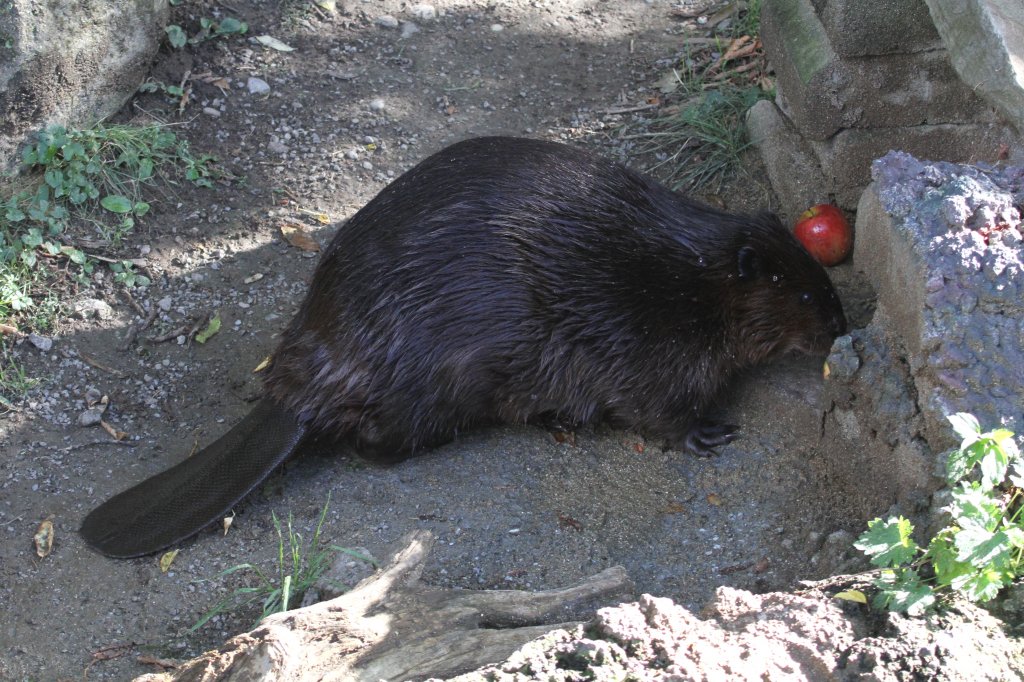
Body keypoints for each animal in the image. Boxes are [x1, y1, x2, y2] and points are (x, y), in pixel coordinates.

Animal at [81, 135, 847, 557]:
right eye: (808, 295)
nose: (842, 324)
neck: (692, 275)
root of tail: (290, 400)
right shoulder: (646, 336)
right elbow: (657, 407)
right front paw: (708, 434)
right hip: (436, 382)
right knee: (376, 443)